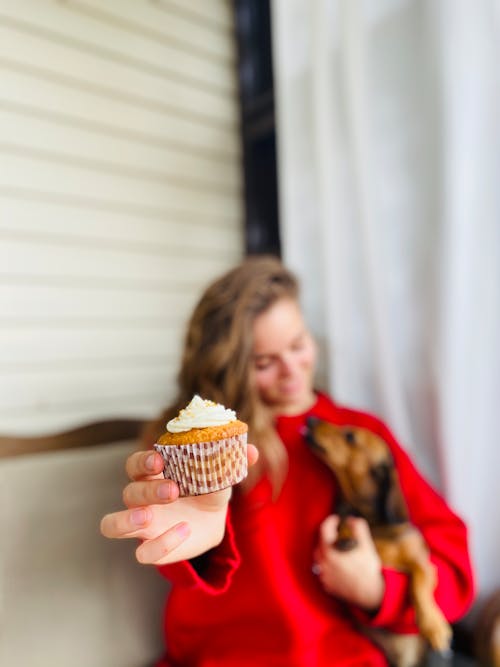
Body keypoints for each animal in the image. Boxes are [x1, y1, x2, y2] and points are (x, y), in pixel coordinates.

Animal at [304, 420, 454, 664]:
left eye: (350, 436)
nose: (311, 420)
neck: (374, 523)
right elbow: (345, 520)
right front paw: (346, 536)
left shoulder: (423, 564)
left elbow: (419, 583)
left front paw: (433, 626)